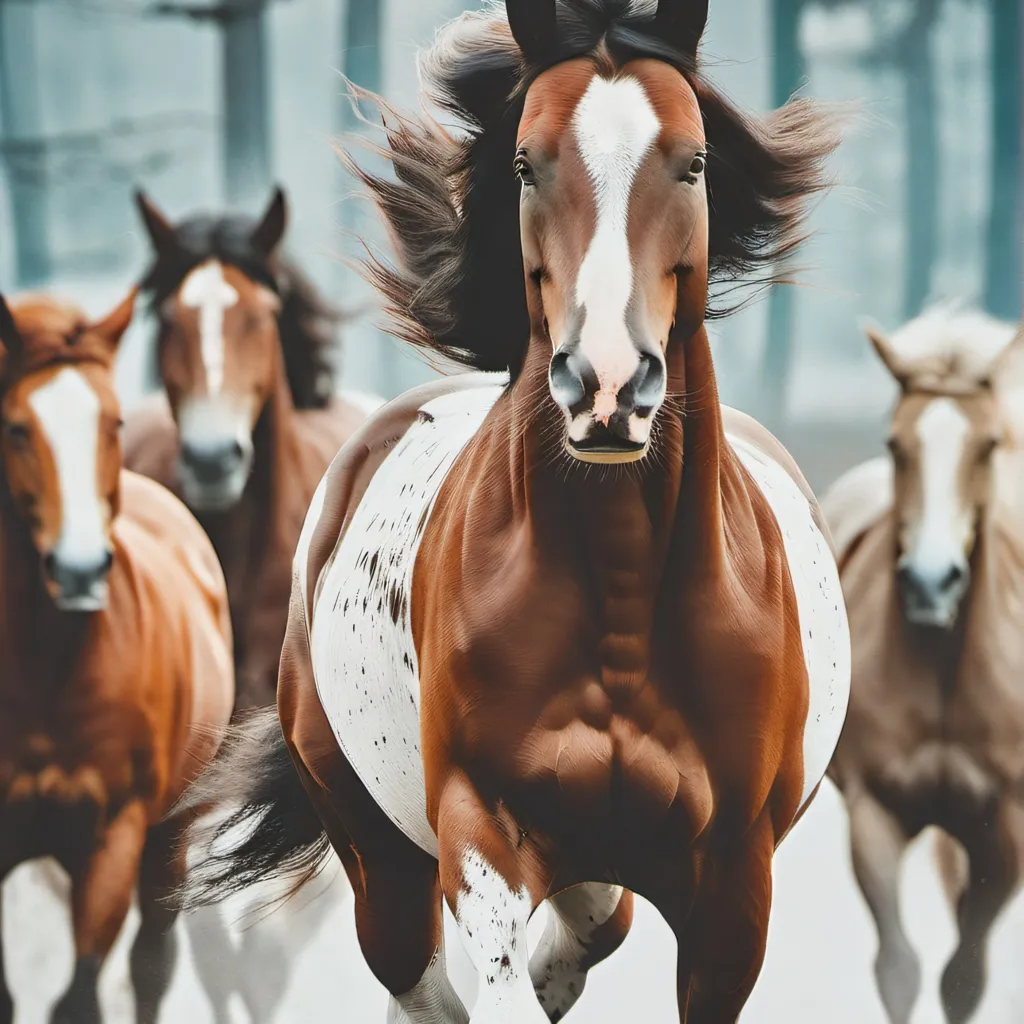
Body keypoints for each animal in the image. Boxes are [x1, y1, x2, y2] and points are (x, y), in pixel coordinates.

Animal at [0, 291, 234, 1022]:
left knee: (149, 962)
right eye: (15, 428)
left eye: (113, 419)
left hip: (168, 835)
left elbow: (79, 996)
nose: (79, 569)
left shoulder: (112, 835)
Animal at [182, 2, 850, 1021]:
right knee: (420, 979)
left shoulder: (734, 887)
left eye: (693, 159)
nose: (607, 387)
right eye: (528, 162)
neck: (620, 601)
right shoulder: (483, 834)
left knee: (589, 927)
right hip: (378, 857)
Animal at [823, 306, 1024, 1024]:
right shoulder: (875, 815)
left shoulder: (1006, 827)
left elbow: (964, 976)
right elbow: (900, 969)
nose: (930, 583)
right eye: (895, 444)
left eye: (987, 445)